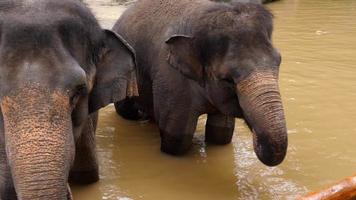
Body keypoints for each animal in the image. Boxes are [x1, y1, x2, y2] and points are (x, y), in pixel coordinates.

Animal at [115, 0, 288, 167]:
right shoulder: (172, 79)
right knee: (127, 111)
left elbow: (221, 135)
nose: (255, 136)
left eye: (278, 62)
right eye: (227, 79)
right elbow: (176, 141)